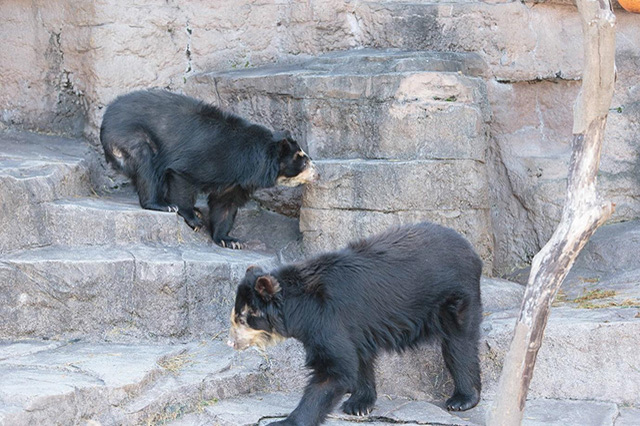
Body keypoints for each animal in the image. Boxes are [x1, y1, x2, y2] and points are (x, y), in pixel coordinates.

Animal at [100, 90, 318, 250]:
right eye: (303, 161)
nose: (318, 173)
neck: (252, 161)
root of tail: (107, 115)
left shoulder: (237, 179)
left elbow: (225, 205)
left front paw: (230, 240)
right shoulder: (213, 158)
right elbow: (184, 177)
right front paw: (193, 219)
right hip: (131, 135)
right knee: (147, 165)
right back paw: (161, 204)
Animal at [228, 221, 482, 424]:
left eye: (242, 319)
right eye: (235, 317)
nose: (232, 343)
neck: (299, 308)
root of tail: (470, 248)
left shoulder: (326, 320)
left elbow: (334, 370)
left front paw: (288, 421)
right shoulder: (353, 328)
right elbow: (359, 360)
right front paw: (359, 404)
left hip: (455, 297)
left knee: (459, 344)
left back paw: (462, 399)